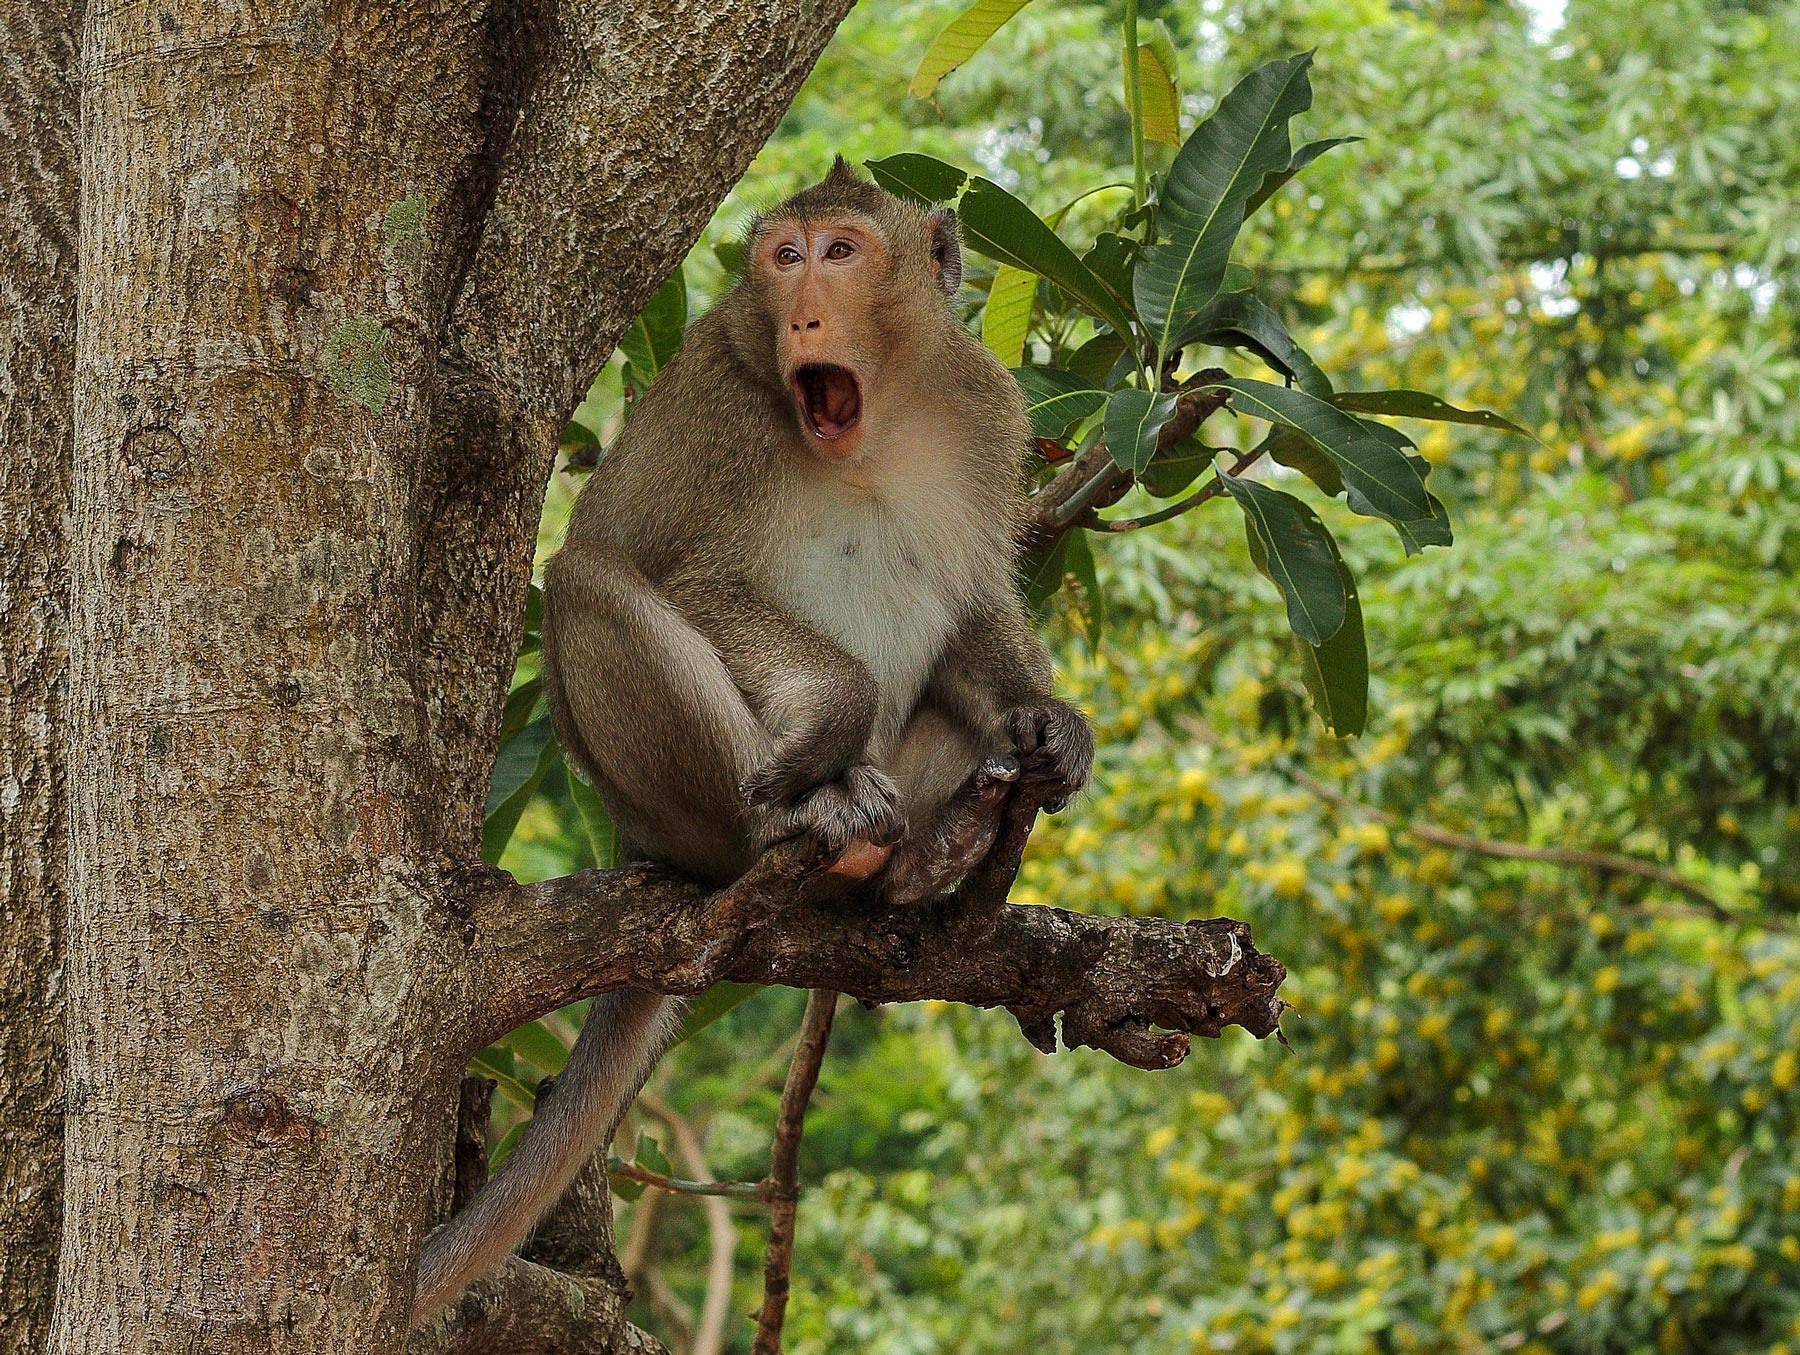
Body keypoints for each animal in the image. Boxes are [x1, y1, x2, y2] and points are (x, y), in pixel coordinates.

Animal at [412, 159, 1093, 1321]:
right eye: (784, 258)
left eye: (841, 253)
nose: (805, 311)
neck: (876, 419)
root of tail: (640, 844)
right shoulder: (725, 418)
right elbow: (694, 580)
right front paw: (832, 717)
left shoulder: (987, 406)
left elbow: (970, 606)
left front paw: (1048, 721)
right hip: (672, 805)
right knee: (590, 586)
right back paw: (807, 817)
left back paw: (926, 855)